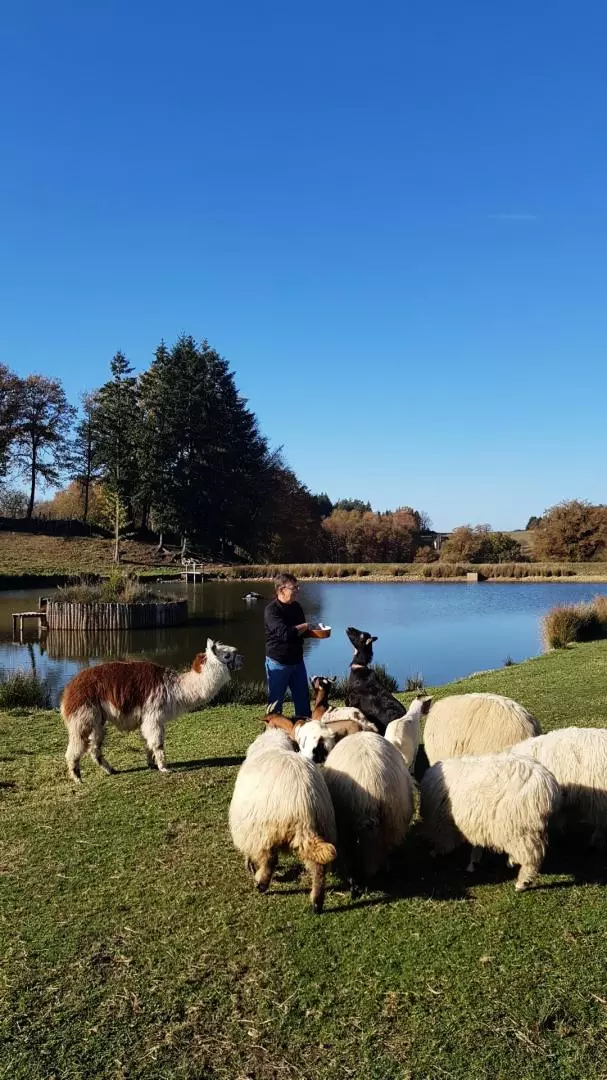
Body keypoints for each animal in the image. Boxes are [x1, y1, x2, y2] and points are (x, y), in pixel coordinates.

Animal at [229, 728, 337, 913]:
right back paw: (317, 902)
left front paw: (249, 865)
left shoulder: (249, 828)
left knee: (270, 859)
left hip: (266, 829)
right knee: (319, 868)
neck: (274, 745)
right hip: (322, 828)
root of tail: (305, 806)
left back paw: (261, 883)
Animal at [419, 752, 560, 890]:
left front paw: (435, 852)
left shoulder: (443, 824)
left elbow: (445, 842)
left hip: (522, 828)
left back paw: (522, 883)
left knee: (531, 859)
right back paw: (512, 861)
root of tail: (548, 785)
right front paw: (473, 861)